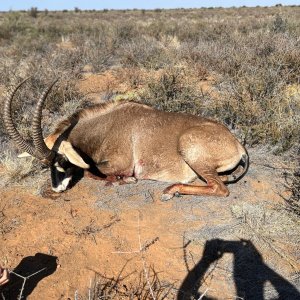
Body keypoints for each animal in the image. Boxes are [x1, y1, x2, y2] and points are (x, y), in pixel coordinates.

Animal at [4, 78, 248, 200]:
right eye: (45, 165)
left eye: (63, 160)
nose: (57, 189)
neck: (105, 125)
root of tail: (237, 143)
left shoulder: (121, 163)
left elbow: (92, 172)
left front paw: (125, 180)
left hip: (189, 148)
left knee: (220, 189)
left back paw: (172, 191)